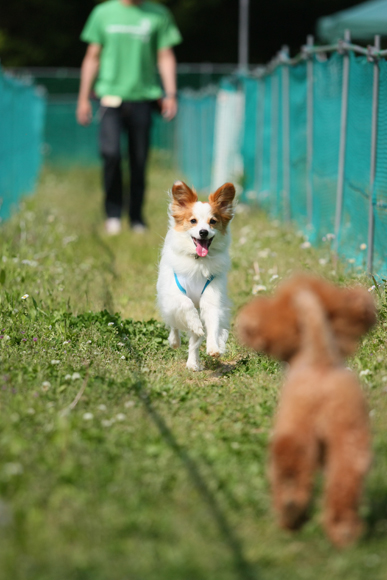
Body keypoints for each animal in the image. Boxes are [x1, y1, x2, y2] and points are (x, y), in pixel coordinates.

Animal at [158, 181, 236, 370]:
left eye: (213, 222)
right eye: (193, 221)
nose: (203, 232)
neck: (198, 261)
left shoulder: (212, 298)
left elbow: (212, 323)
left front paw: (214, 347)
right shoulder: (173, 294)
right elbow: (186, 304)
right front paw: (195, 324)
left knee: (194, 339)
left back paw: (192, 363)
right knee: (174, 323)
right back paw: (175, 341)